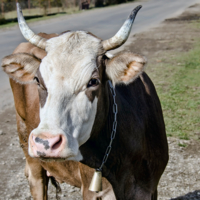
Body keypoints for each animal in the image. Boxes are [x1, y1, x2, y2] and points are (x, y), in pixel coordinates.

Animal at [1, 3, 169, 200]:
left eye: (93, 81)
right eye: (37, 80)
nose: (46, 142)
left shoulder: (150, 188)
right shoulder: (93, 191)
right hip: (29, 151)